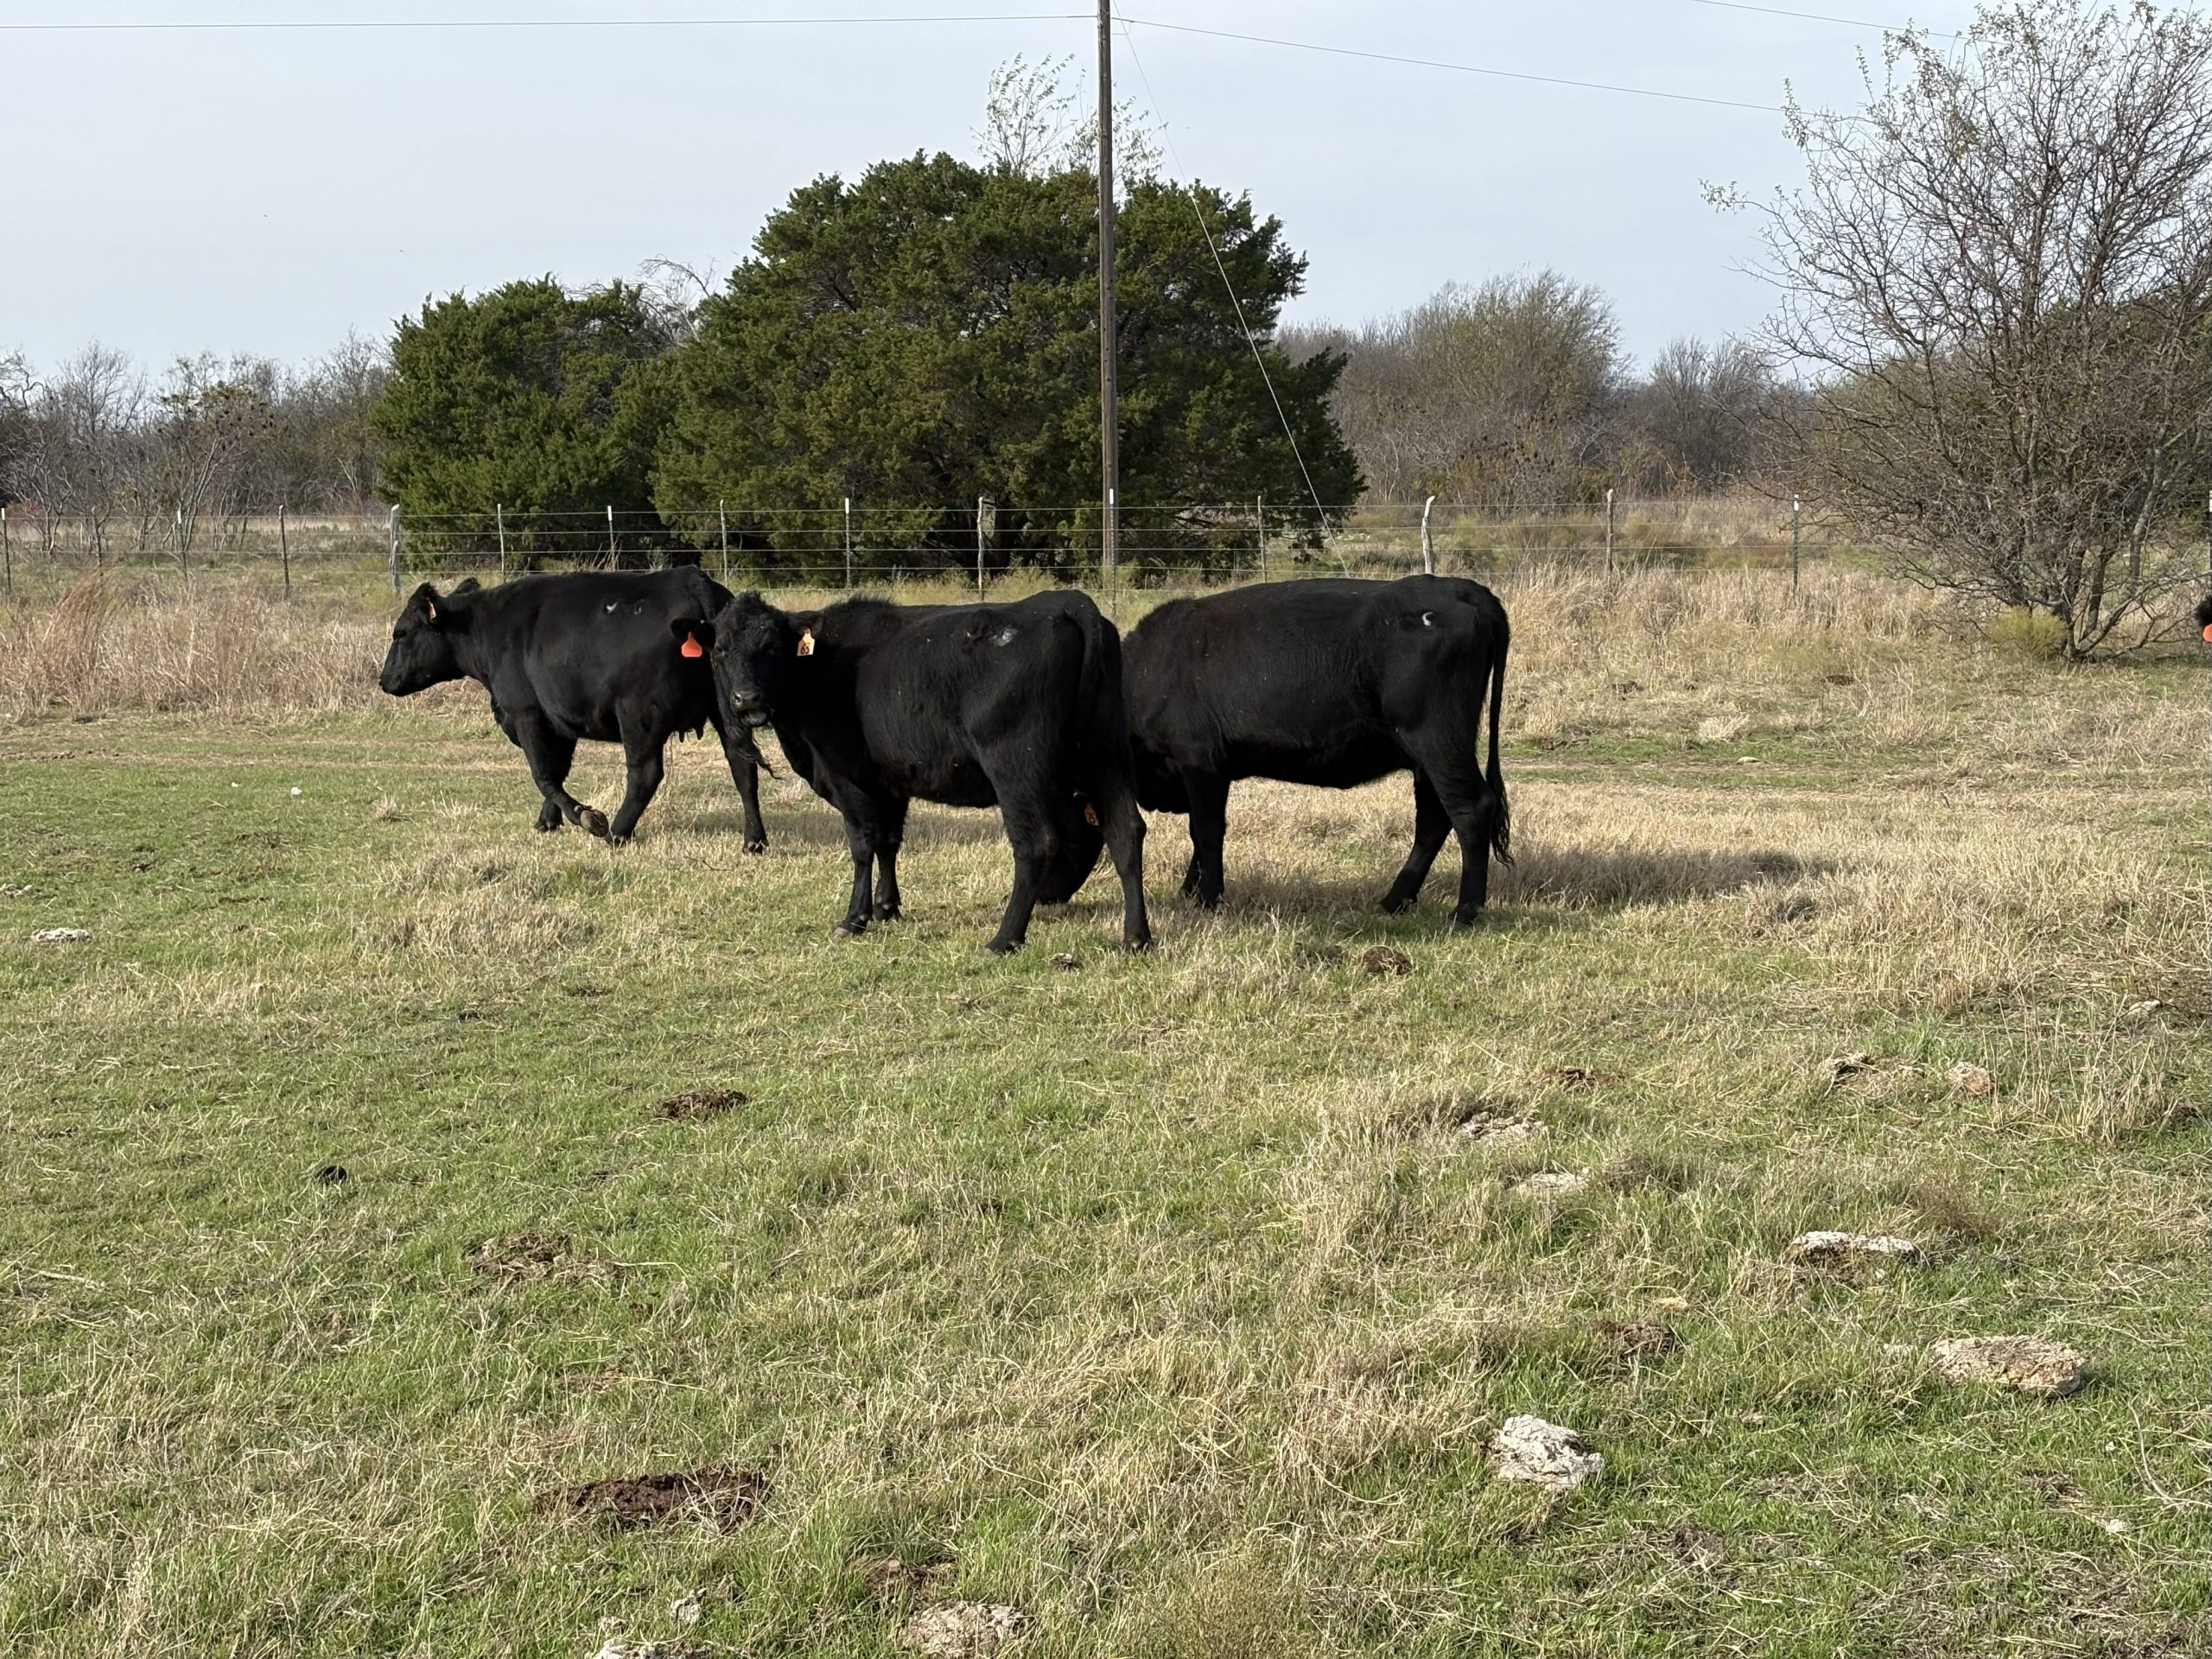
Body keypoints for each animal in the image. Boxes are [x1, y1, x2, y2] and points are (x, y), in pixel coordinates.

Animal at [377, 567, 768, 849]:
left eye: (401, 633)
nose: (384, 680)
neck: (487, 627)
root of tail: (691, 579)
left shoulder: (527, 714)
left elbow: (543, 774)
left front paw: (584, 816)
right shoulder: (559, 721)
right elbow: (558, 772)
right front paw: (547, 820)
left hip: (638, 715)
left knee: (645, 774)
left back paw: (616, 833)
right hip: (728, 710)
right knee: (743, 768)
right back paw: (754, 840)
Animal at [674, 588, 1150, 954]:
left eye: (772, 647)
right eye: (720, 651)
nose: (746, 699)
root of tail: (1064, 601)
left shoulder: (848, 777)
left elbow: (863, 845)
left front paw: (855, 917)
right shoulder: (890, 780)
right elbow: (889, 841)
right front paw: (888, 907)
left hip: (1016, 766)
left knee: (1036, 843)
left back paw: (1005, 938)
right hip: (1107, 755)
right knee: (1126, 831)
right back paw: (1135, 937)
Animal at [1099, 574, 1511, 926]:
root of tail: (1460, 587)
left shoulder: (1198, 759)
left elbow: (1206, 830)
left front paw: (1207, 897)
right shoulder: (1209, 771)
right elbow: (1200, 833)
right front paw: (1190, 891)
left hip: (1437, 740)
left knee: (1470, 808)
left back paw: (1465, 910)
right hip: (1425, 756)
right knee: (1433, 819)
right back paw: (1395, 900)